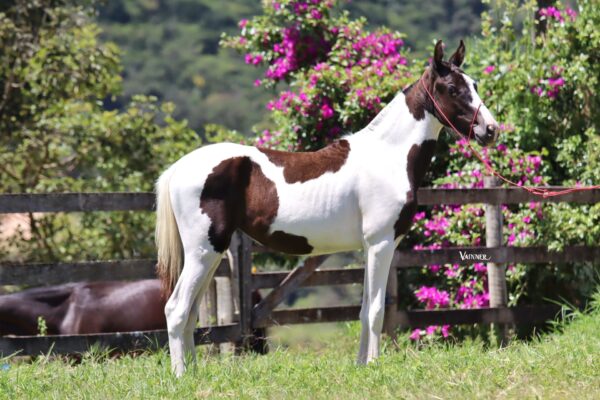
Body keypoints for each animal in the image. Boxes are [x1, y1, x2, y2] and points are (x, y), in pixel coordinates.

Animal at [155, 40, 496, 376]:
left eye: (475, 84)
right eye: (452, 89)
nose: (491, 130)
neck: (388, 156)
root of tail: (178, 168)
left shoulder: (370, 247)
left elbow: (364, 310)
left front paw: (362, 365)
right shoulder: (381, 244)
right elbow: (376, 310)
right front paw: (374, 365)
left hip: (211, 254)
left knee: (190, 312)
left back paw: (193, 373)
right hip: (204, 250)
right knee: (176, 308)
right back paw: (181, 376)